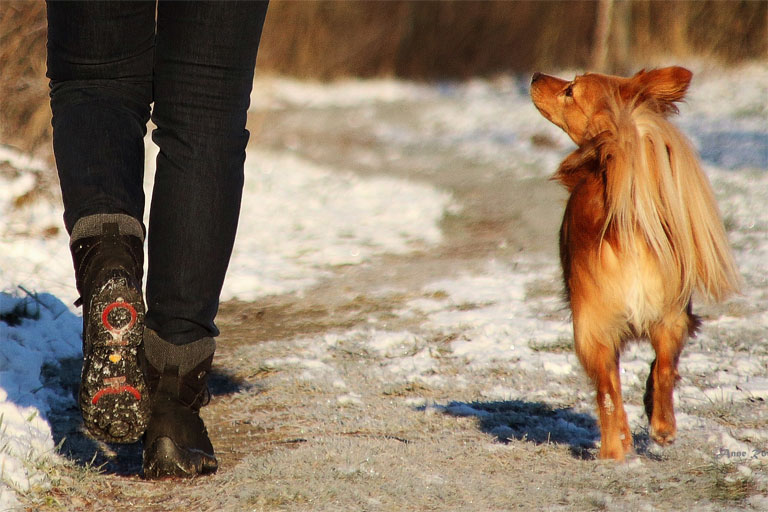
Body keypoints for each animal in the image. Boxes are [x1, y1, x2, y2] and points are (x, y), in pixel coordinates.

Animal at [532, 66, 740, 462]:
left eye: (570, 91)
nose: (535, 76)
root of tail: (627, 226)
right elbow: (658, 369)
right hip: (670, 317)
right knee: (660, 371)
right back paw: (661, 428)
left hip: (590, 329)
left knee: (607, 392)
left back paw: (614, 450)